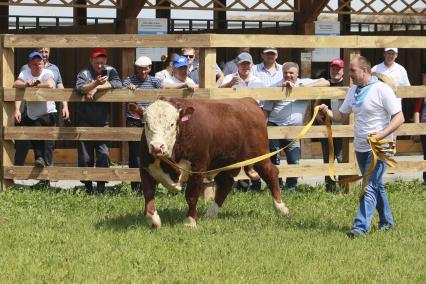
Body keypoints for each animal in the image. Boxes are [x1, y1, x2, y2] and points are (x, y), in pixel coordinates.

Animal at [131, 97, 288, 229]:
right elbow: (148, 193)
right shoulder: (145, 168)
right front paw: (153, 220)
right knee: (225, 185)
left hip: (260, 155)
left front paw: (190, 221)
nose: (157, 147)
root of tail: (248, 101)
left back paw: (281, 207)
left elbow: (191, 195)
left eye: (172, 124)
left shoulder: (198, 168)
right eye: (146, 124)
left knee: (271, 173)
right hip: (224, 162)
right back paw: (211, 213)